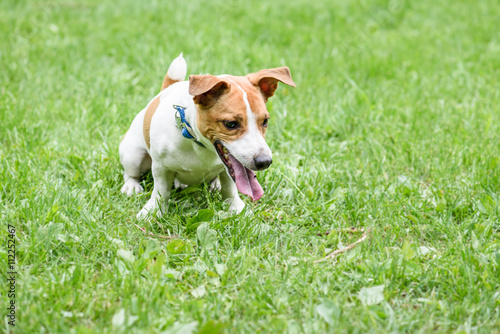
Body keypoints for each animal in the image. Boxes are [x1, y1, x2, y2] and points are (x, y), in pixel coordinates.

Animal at [118, 53, 294, 218]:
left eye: (265, 121)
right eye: (231, 124)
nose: (265, 162)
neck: (200, 146)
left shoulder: (228, 171)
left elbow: (230, 188)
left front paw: (236, 208)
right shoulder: (161, 167)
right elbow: (161, 191)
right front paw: (152, 211)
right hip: (133, 156)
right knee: (130, 173)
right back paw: (131, 186)